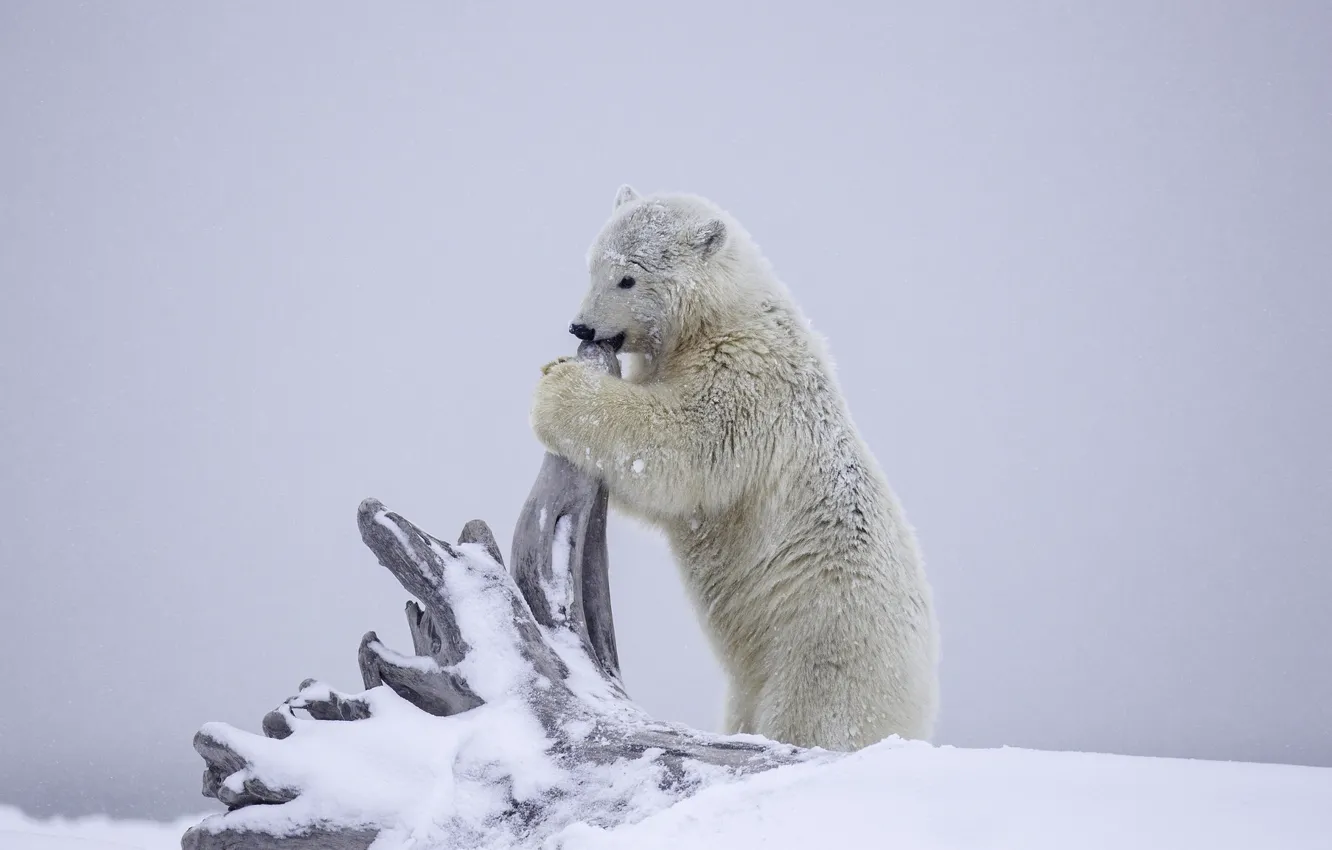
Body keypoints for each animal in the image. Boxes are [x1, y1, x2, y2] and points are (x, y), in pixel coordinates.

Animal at [530, 186, 937, 751]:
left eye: (628, 277)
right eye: (592, 265)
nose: (581, 327)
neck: (723, 315)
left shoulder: (746, 378)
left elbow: (680, 449)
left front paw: (559, 387)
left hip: (824, 646)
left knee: (812, 718)